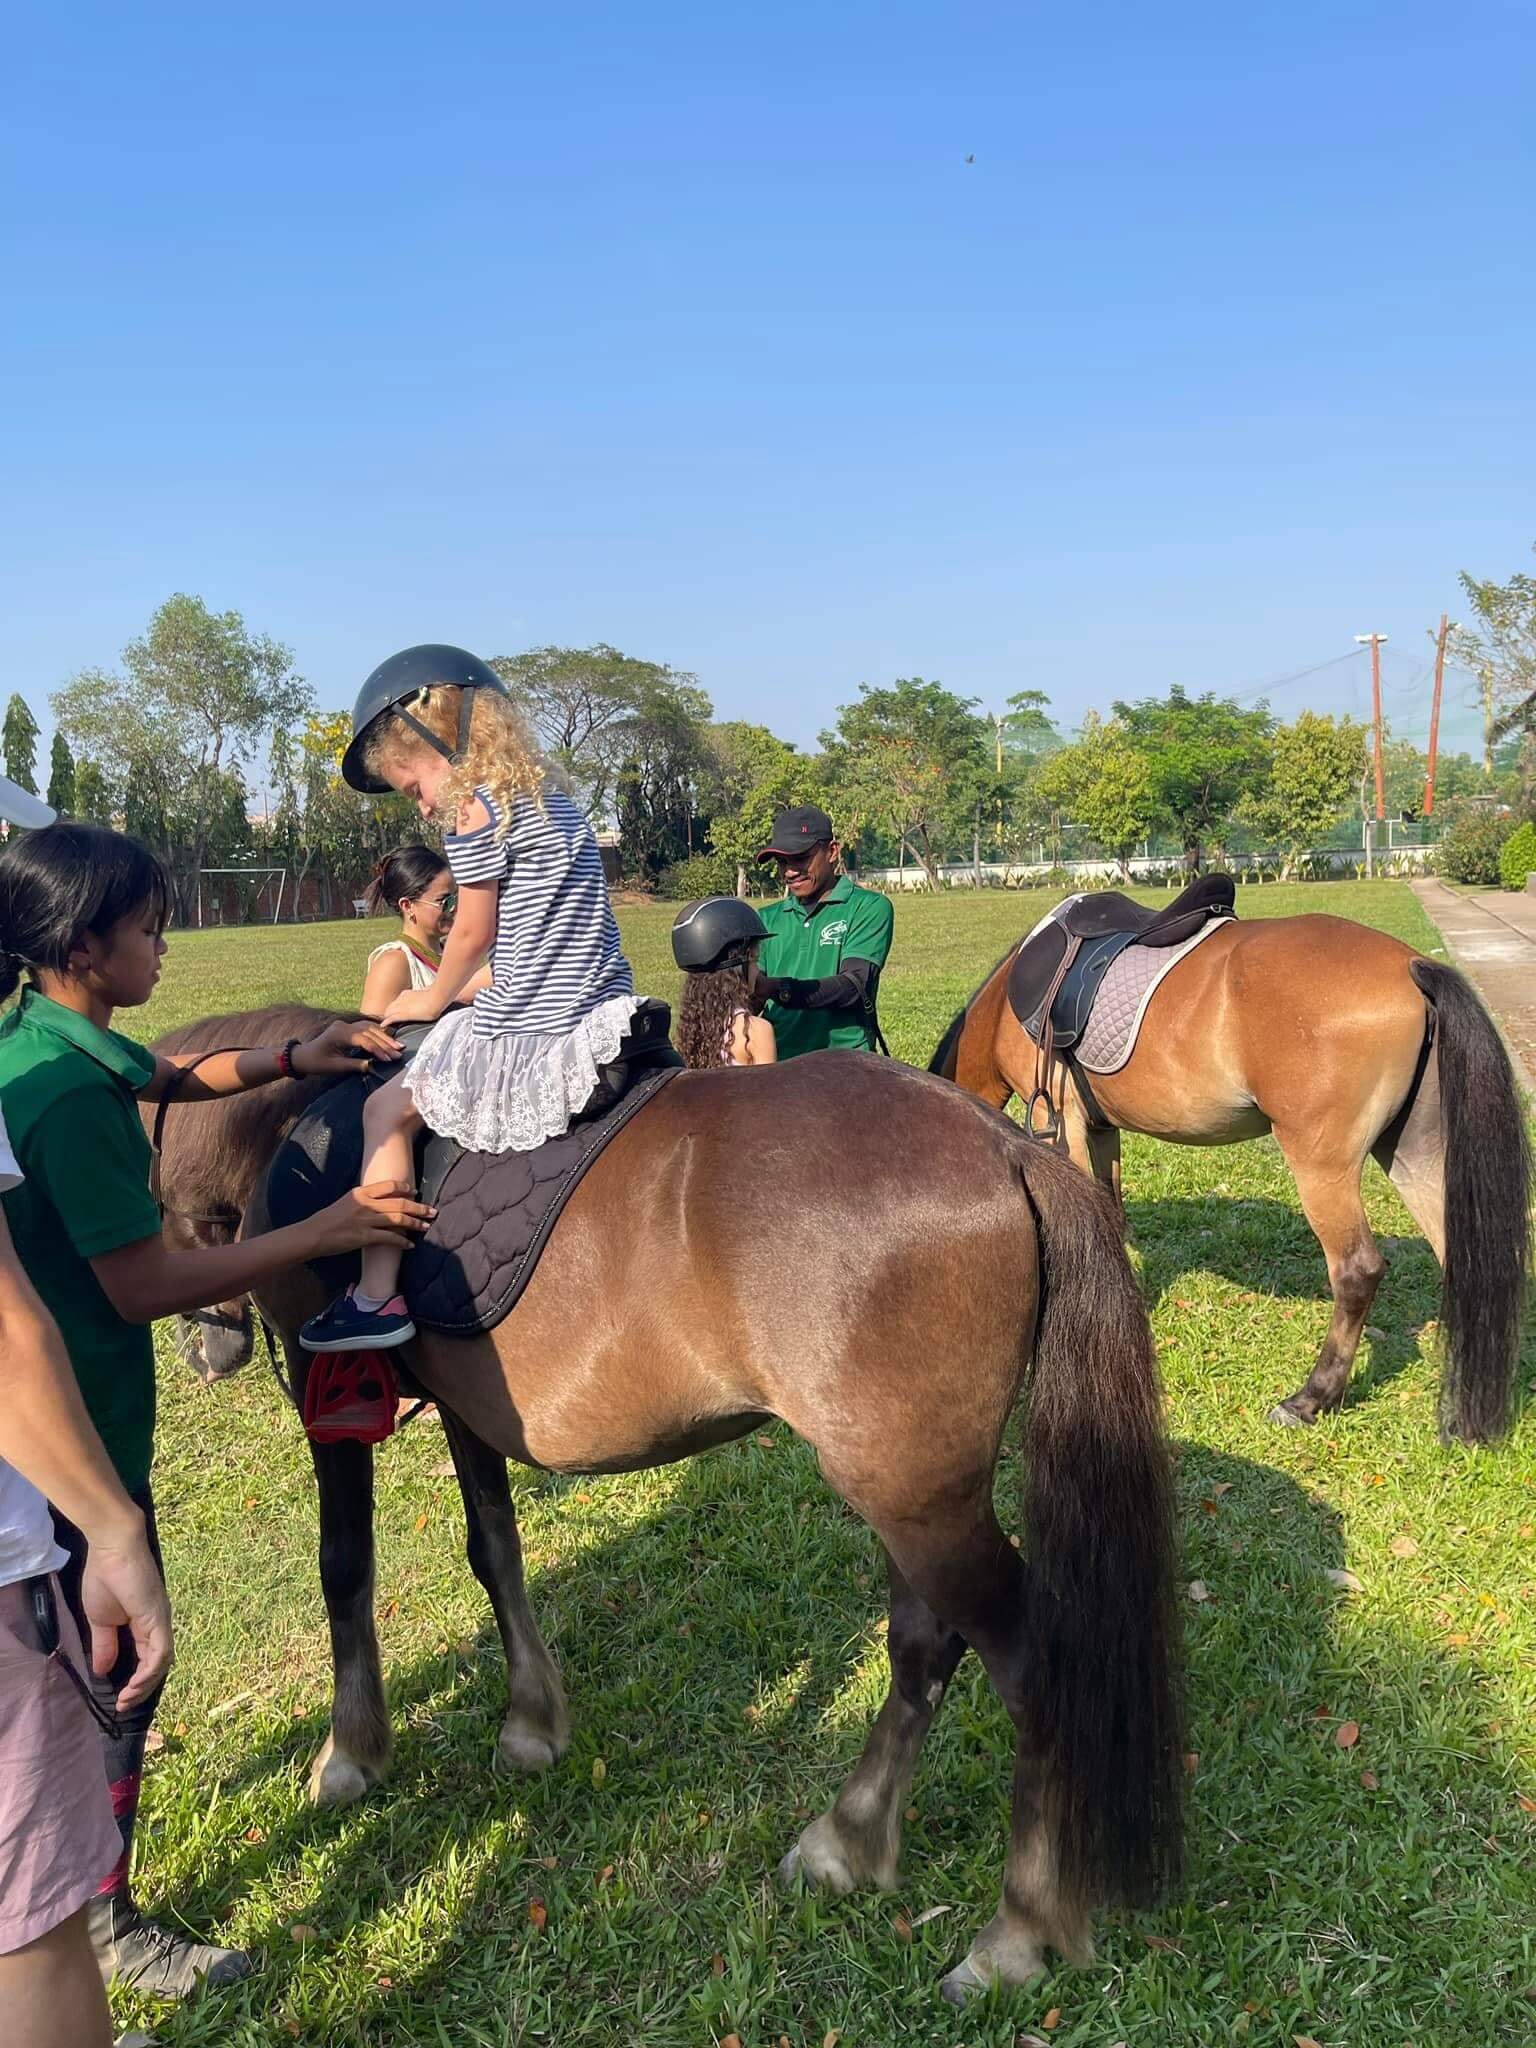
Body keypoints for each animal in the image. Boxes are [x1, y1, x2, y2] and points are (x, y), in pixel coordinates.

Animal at [153, 1007, 1187, 1998]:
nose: (205, 1352)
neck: (302, 1134)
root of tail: (1009, 1147)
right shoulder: (466, 1407)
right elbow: (495, 1550)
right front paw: (532, 1721)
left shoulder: (327, 1399)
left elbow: (345, 1569)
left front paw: (351, 1753)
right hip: (910, 1492)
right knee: (924, 1647)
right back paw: (846, 1841)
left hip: (919, 1502)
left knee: (1030, 1666)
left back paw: (1015, 1931)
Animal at [933, 913, 1531, 1441]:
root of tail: (1411, 965)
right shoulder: (1102, 1130)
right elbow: (1110, 1215)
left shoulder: (1065, 1123)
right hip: (1412, 1151)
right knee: (1462, 1258)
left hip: (1323, 1164)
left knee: (1357, 1271)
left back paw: (1310, 1399)